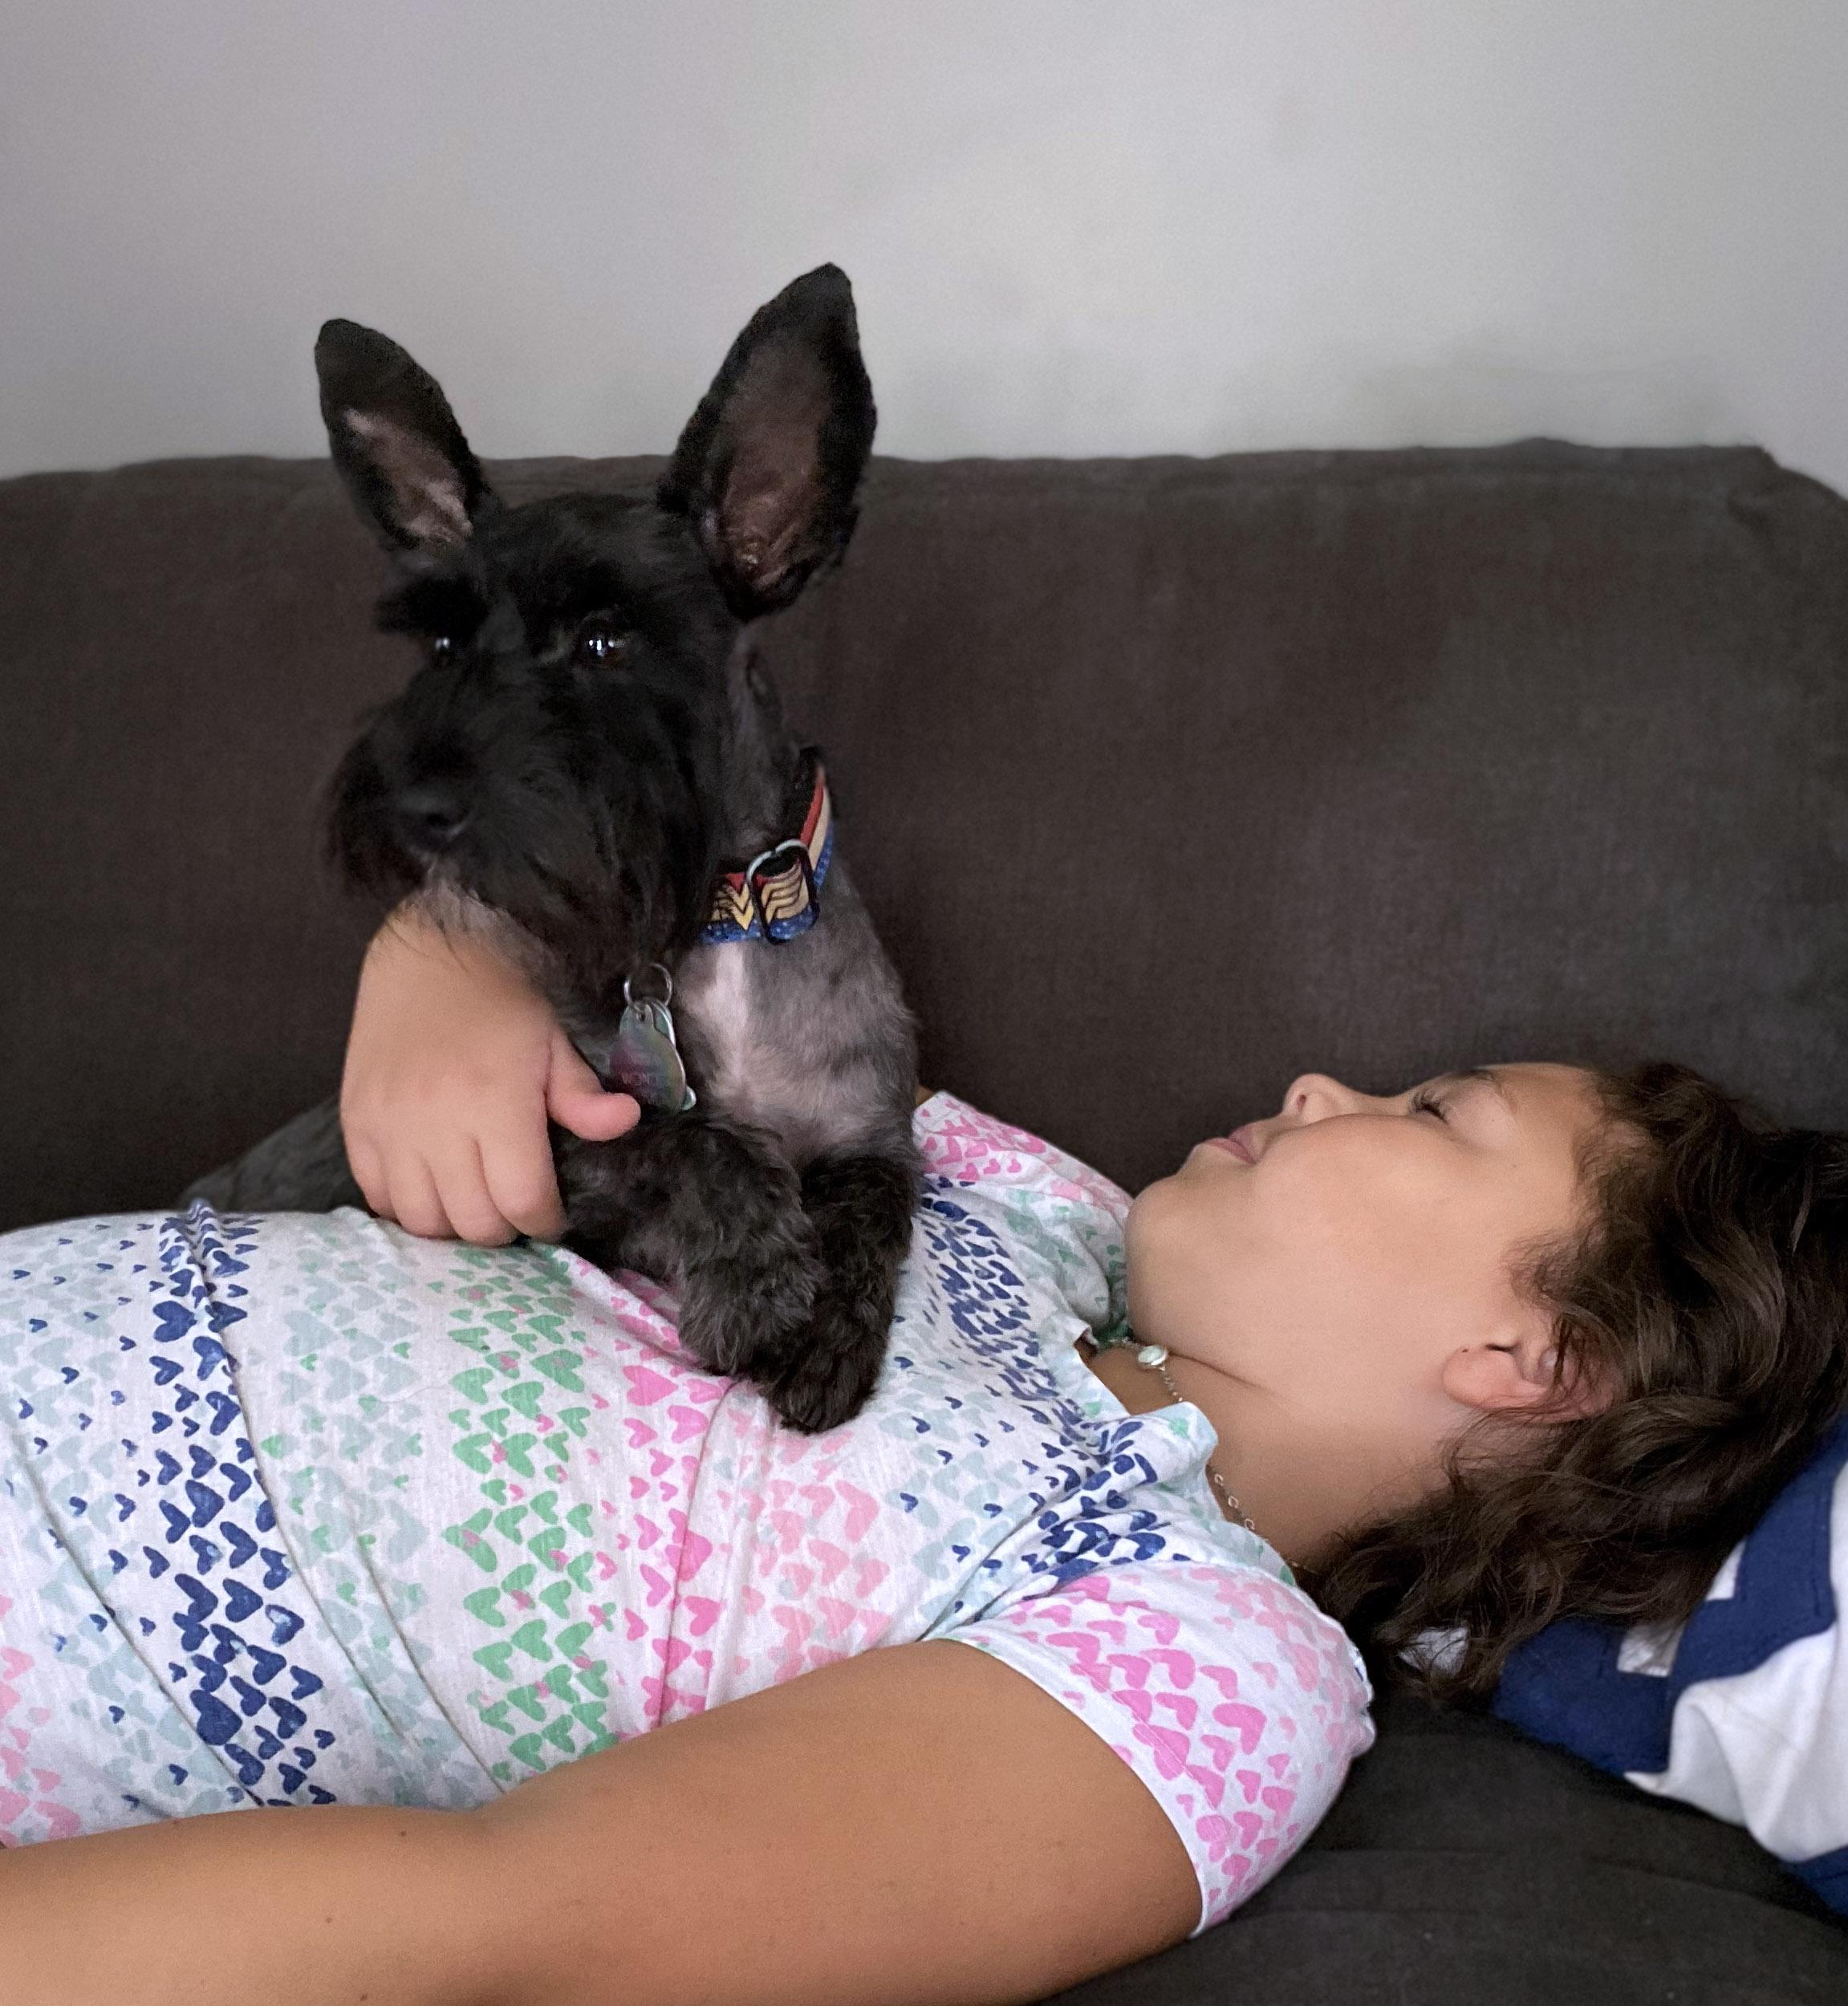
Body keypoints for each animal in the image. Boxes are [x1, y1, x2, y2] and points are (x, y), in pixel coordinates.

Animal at [182, 265, 921, 1434]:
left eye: (605, 642)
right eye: (442, 643)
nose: (413, 804)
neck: (721, 925)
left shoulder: (874, 1138)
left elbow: (871, 1215)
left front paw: (827, 1332)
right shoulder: (551, 1158)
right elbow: (683, 1140)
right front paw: (761, 1283)